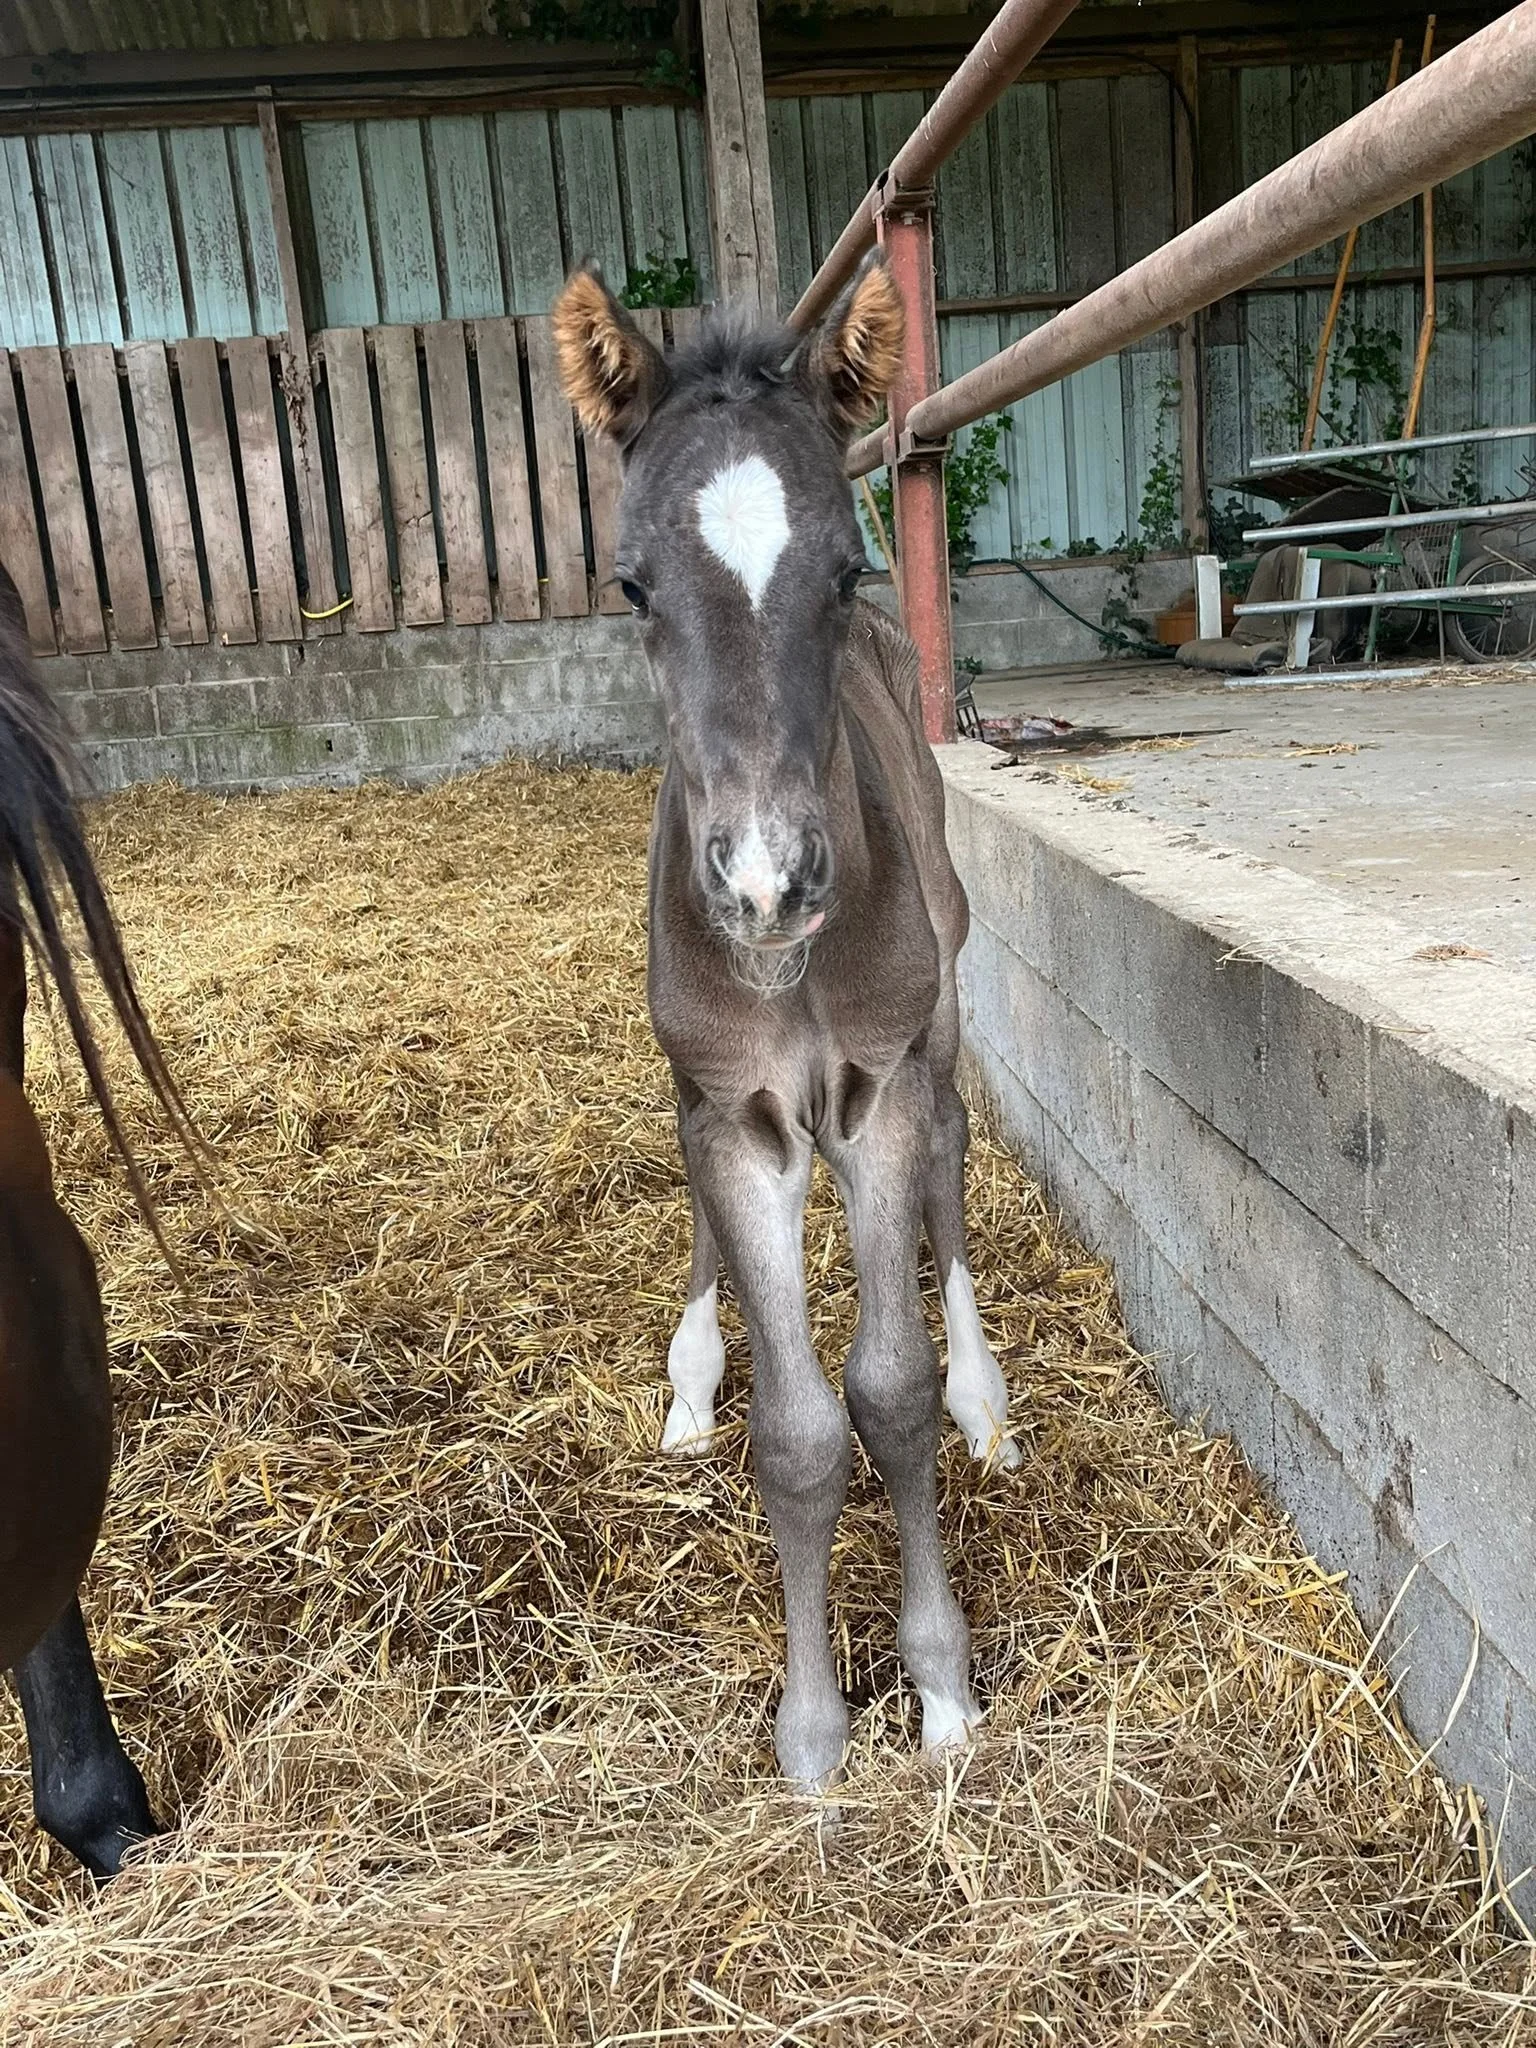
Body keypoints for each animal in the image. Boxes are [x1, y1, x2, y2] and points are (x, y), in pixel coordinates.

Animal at [555, 255, 1021, 1792]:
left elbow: (891, 1391)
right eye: (633, 582)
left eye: (847, 569)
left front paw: (938, 1691)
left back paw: (990, 1397)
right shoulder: (737, 1115)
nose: (768, 884)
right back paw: (694, 1377)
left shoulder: (874, 1091)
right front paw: (815, 1736)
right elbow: (801, 1432)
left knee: (955, 1155)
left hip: (940, 1016)